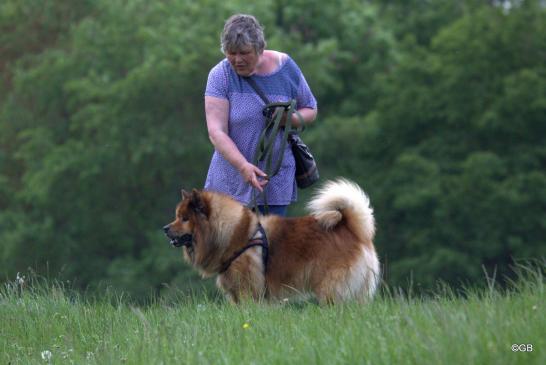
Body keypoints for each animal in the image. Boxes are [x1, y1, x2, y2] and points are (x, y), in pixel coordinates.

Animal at [162, 178, 378, 302]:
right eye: (176, 216)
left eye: (184, 218)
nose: (165, 229)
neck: (232, 234)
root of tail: (353, 230)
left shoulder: (246, 289)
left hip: (330, 288)